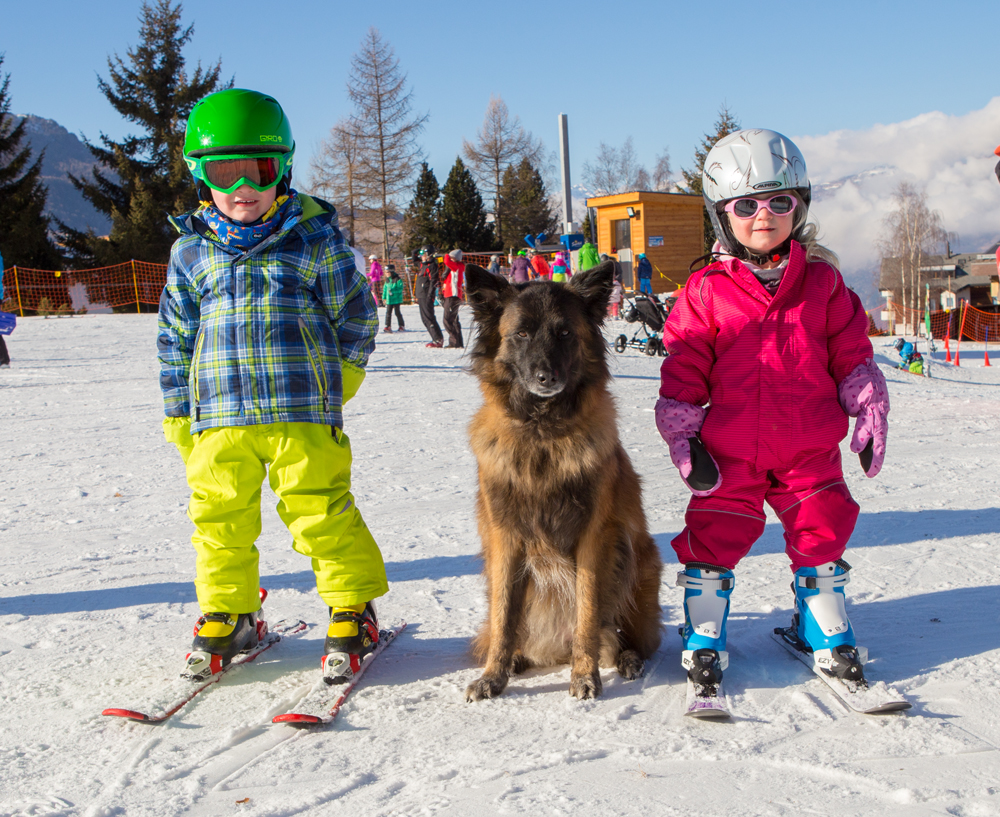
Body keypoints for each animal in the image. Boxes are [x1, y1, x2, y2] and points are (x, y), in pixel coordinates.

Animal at [462, 262, 664, 700]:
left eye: (566, 333)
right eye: (521, 333)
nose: (546, 377)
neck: (543, 435)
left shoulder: (594, 537)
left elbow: (588, 612)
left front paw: (585, 675)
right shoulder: (506, 539)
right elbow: (504, 616)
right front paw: (493, 676)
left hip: (640, 563)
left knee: (621, 636)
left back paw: (626, 658)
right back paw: (520, 657)